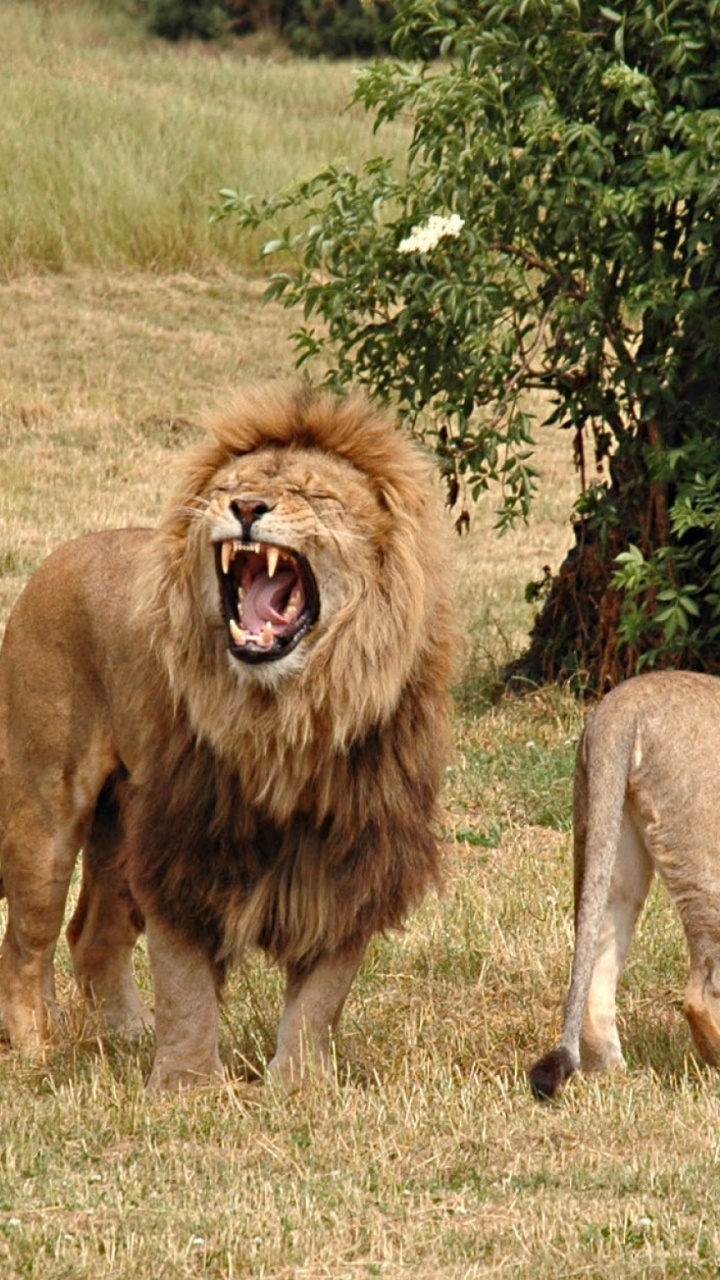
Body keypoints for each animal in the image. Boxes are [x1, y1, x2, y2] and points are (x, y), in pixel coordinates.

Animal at [0, 385, 456, 1090]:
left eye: (312, 494)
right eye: (231, 487)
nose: (245, 508)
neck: (289, 717)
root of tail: (65, 552)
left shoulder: (355, 852)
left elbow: (322, 994)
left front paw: (299, 1086)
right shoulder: (184, 841)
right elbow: (185, 983)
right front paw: (187, 1088)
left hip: (118, 823)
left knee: (93, 935)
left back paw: (128, 1035)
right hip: (43, 809)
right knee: (27, 942)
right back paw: (35, 1048)